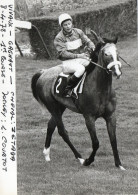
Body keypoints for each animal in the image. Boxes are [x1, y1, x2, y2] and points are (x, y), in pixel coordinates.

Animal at [31, 31, 125, 170]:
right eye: (106, 54)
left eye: (117, 52)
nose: (117, 72)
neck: (100, 89)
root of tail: (43, 72)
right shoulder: (89, 118)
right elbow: (96, 142)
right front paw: (88, 161)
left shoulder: (110, 116)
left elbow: (113, 140)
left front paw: (119, 165)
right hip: (53, 108)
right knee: (62, 132)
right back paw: (80, 158)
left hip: (60, 107)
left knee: (50, 125)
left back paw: (47, 154)